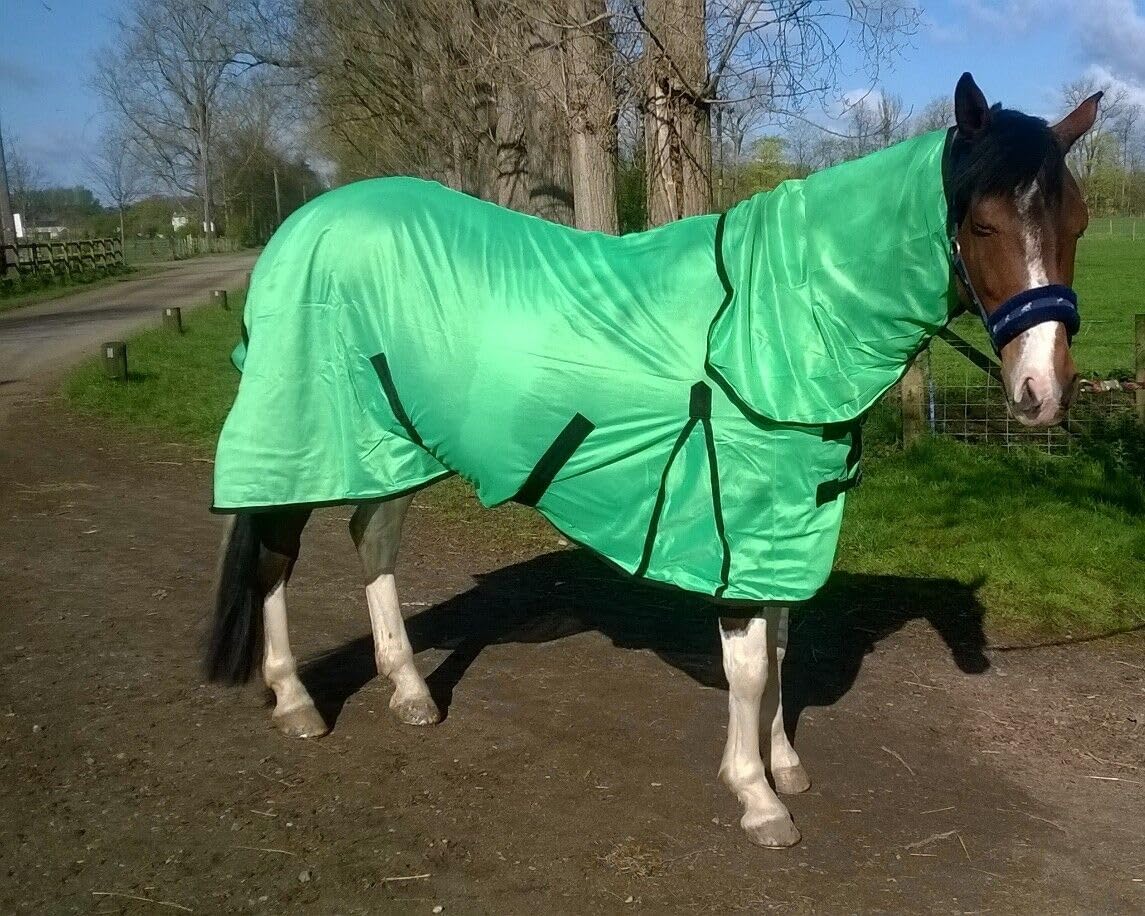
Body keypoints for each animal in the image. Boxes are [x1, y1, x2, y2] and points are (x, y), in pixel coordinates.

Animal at [203, 73, 1099, 848]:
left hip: (390, 440)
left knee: (374, 540)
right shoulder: (739, 523)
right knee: (275, 559)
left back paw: (411, 691)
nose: (1042, 393)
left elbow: (782, 646)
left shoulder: (788, 522)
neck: (776, 317)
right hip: (307, 433)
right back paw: (295, 701)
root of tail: (305, 225)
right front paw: (755, 797)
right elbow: (749, 666)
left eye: (1079, 223)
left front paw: (784, 764)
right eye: (980, 224)